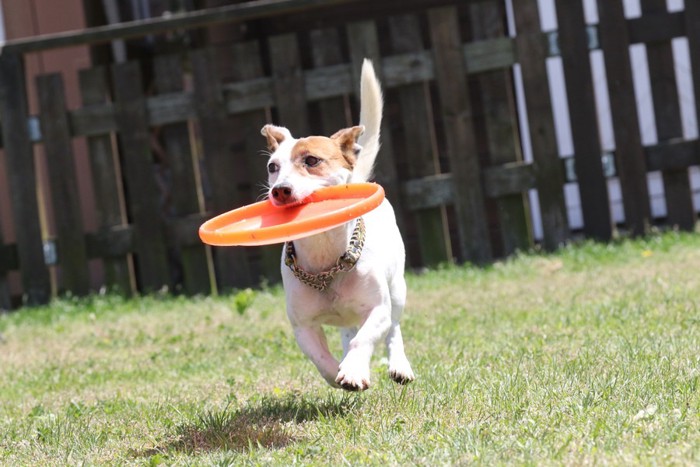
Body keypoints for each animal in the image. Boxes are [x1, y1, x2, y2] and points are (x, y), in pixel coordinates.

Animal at [262, 61, 416, 392]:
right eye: (272, 167)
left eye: (311, 160)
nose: (280, 190)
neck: (324, 259)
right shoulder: (303, 326)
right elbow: (320, 357)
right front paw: (339, 372)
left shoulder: (378, 309)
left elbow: (368, 336)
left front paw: (355, 370)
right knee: (348, 331)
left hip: (398, 288)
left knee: (393, 329)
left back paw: (398, 365)